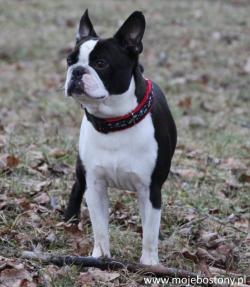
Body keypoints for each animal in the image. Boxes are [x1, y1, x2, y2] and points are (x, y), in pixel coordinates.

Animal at [65, 9, 177, 266]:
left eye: (101, 63)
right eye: (69, 61)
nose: (77, 71)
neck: (114, 122)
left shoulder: (150, 189)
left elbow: (149, 233)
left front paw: (149, 264)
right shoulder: (95, 184)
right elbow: (99, 227)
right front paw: (100, 257)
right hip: (82, 171)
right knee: (76, 187)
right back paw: (68, 221)